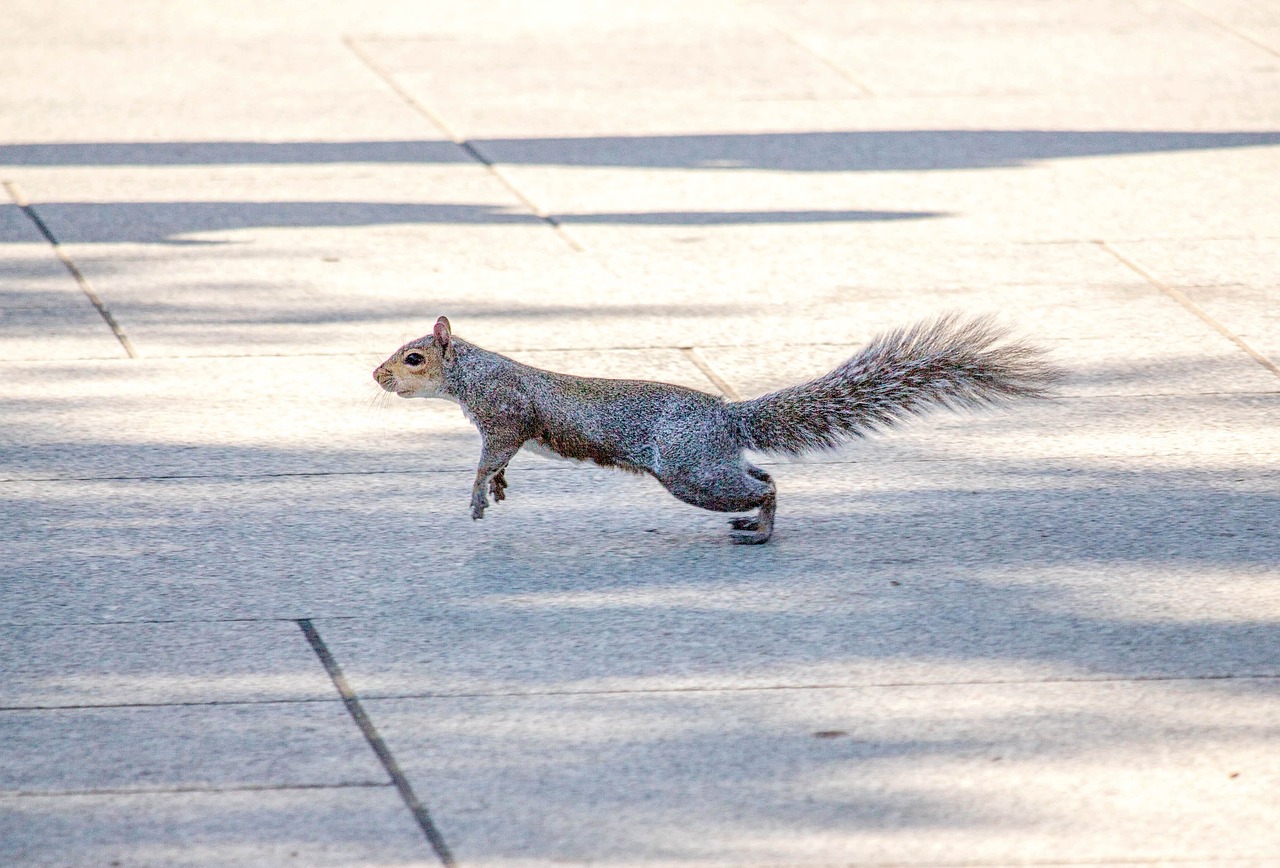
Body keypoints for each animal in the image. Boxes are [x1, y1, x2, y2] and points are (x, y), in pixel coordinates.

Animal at [371, 312, 1059, 542]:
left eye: (414, 358)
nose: (376, 375)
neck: (473, 373)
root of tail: (730, 417)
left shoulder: (504, 415)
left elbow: (491, 455)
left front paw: (478, 495)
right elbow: (502, 463)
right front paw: (500, 489)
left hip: (691, 473)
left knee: (768, 485)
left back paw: (761, 528)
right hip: (710, 463)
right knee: (762, 473)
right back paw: (756, 522)